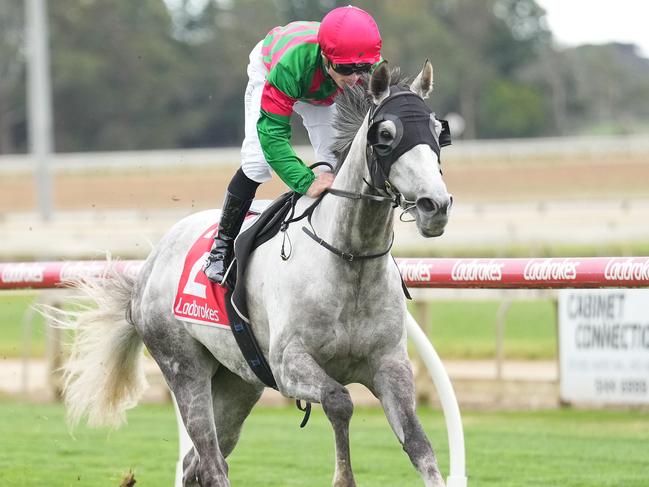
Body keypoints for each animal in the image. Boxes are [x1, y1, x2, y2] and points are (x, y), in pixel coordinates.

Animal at [62, 62, 450, 487]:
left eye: (438, 131)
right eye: (385, 135)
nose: (435, 206)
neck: (350, 259)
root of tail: (148, 268)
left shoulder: (390, 366)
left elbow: (418, 443)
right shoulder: (288, 364)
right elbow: (339, 401)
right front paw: (342, 476)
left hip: (239, 380)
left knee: (197, 461)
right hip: (183, 366)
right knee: (211, 461)